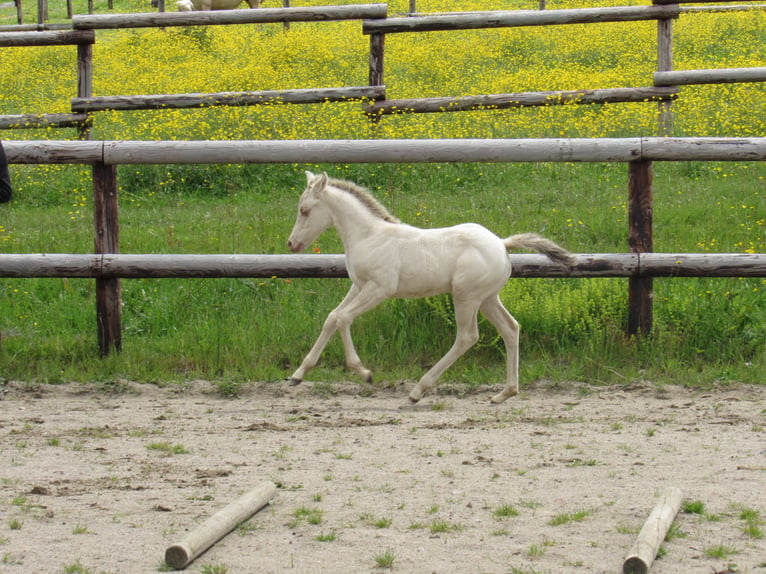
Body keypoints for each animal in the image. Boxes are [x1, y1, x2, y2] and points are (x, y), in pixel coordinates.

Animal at [287, 171, 574, 404]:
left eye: (305, 210)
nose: (291, 244)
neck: (369, 236)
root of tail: (502, 244)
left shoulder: (379, 288)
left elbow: (344, 318)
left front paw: (364, 373)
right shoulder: (358, 286)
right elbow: (332, 317)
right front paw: (297, 375)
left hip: (466, 296)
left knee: (467, 336)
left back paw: (418, 390)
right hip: (488, 298)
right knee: (510, 328)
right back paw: (504, 393)